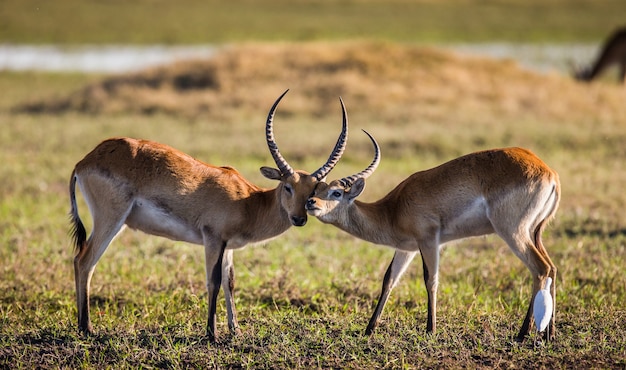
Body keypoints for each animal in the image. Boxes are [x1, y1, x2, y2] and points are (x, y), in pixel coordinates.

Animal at [70, 89, 348, 342]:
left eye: (312, 190)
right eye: (288, 186)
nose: (299, 219)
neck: (249, 202)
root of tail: (85, 161)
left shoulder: (228, 246)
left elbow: (229, 281)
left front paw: (235, 331)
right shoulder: (213, 239)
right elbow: (213, 281)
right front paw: (212, 334)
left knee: (81, 259)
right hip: (110, 220)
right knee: (85, 261)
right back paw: (86, 328)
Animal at [304, 132, 560, 342]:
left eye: (336, 193)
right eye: (316, 190)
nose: (310, 203)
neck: (392, 210)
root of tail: (549, 172)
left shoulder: (429, 241)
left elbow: (431, 280)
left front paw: (431, 329)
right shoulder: (406, 248)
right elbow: (389, 280)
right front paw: (369, 329)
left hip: (512, 231)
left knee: (540, 268)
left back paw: (523, 333)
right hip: (534, 233)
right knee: (552, 268)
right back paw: (549, 333)